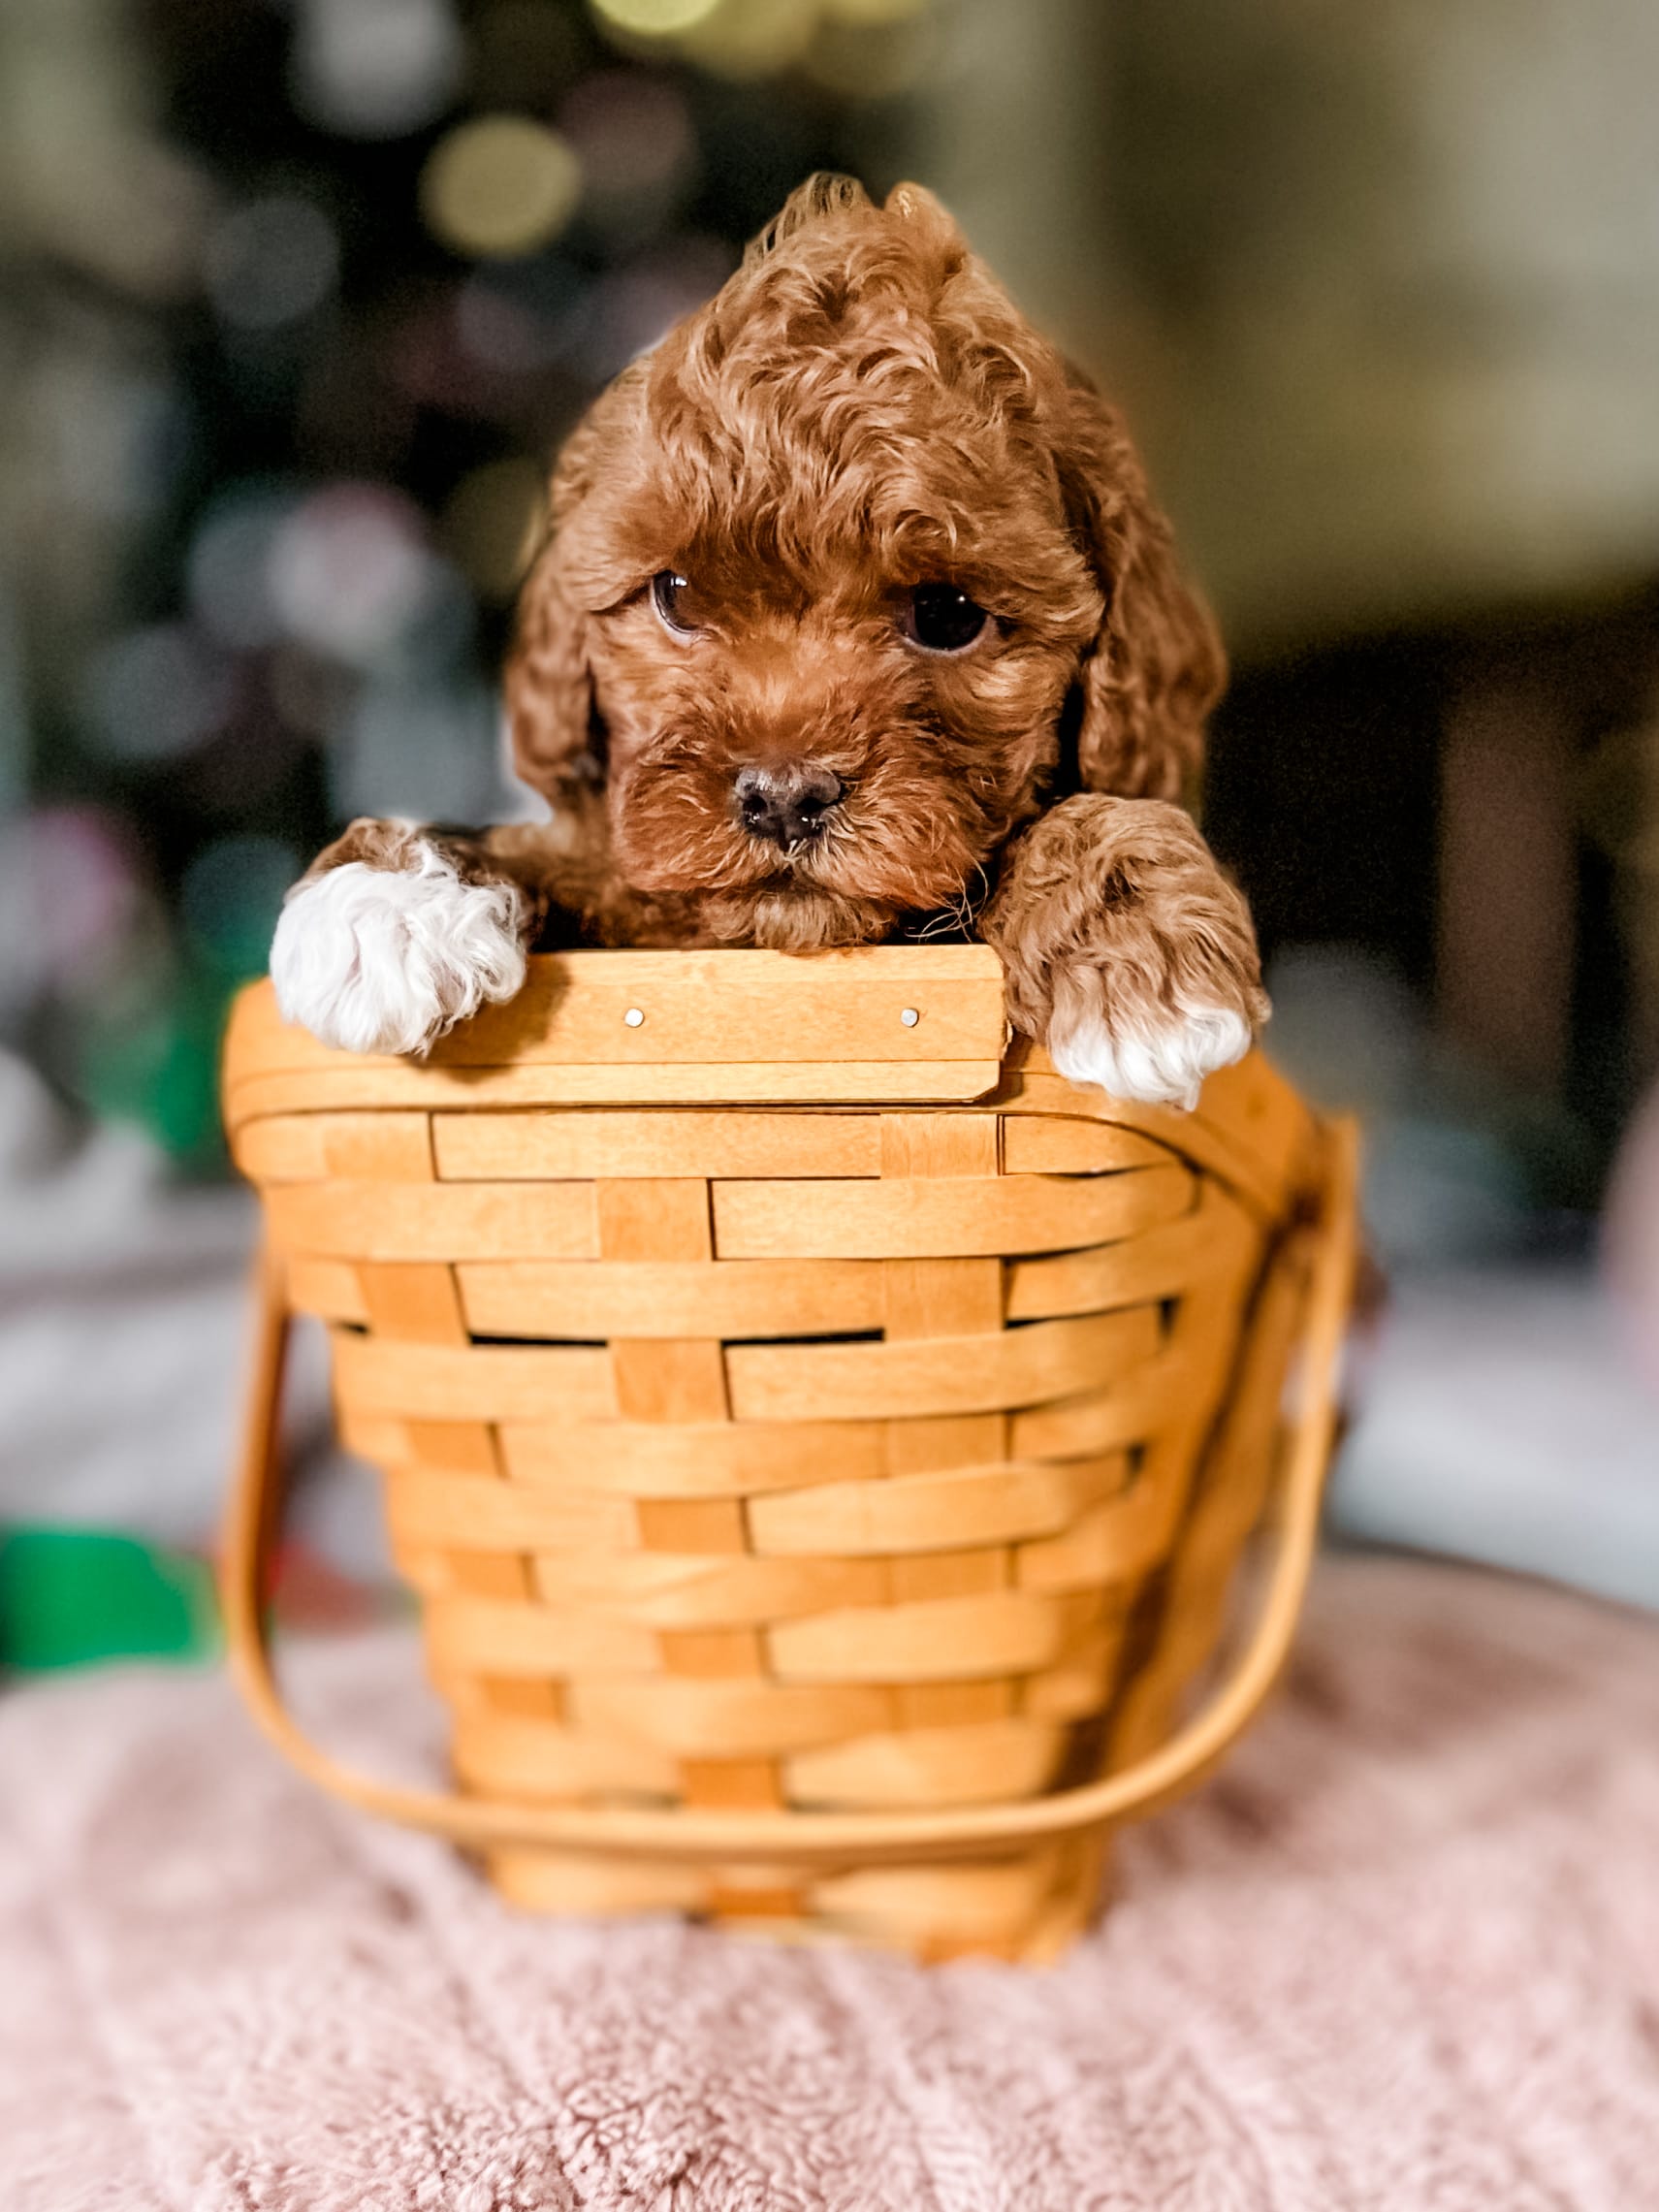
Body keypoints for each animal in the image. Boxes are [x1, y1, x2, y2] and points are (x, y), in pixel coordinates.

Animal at [272, 172, 1264, 1106]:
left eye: (948, 614)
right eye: (674, 596)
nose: (785, 797)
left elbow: (1084, 812)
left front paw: (1138, 946)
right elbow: (572, 852)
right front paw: (389, 897)